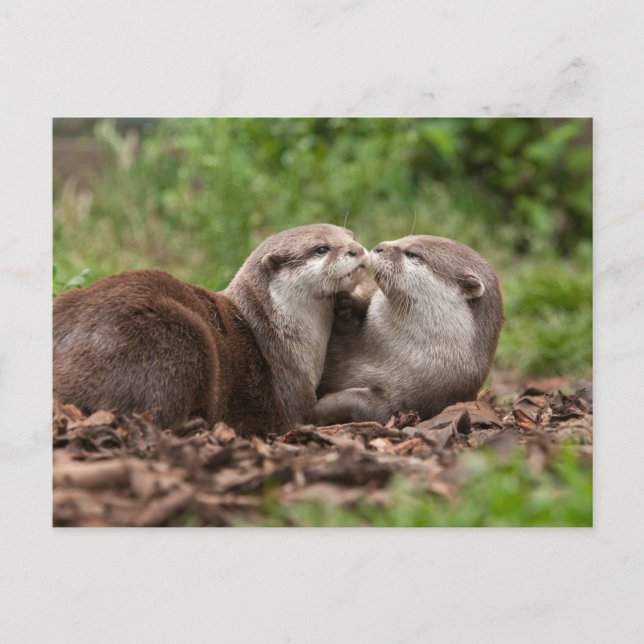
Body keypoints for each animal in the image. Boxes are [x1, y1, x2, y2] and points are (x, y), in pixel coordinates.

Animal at [308, 235, 503, 425]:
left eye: (411, 254)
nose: (379, 247)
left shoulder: (423, 395)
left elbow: (369, 407)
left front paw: (318, 409)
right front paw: (346, 307)